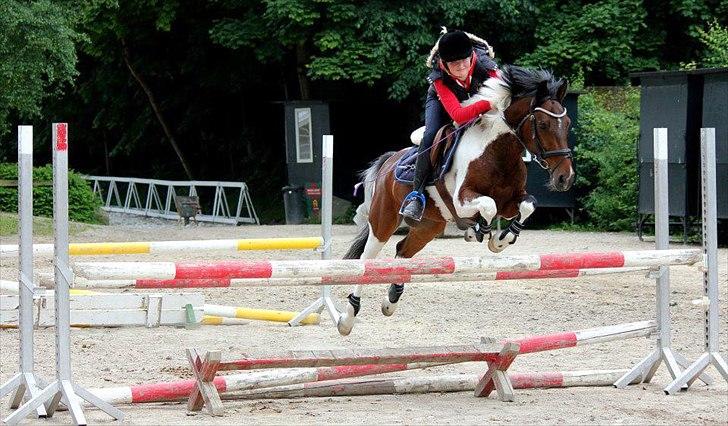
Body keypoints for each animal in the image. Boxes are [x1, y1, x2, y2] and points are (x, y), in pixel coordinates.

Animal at [337, 65, 575, 336]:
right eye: (543, 124)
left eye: (567, 124)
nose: (565, 177)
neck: (498, 152)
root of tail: (389, 160)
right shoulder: (463, 200)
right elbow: (488, 206)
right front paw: (480, 231)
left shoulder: (511, 201)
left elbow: (527, 204)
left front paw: (500, 240)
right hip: (383, 220)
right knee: (367, 261)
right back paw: (347, 318)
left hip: (428, 227)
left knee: (402, 252)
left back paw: (391, 302)